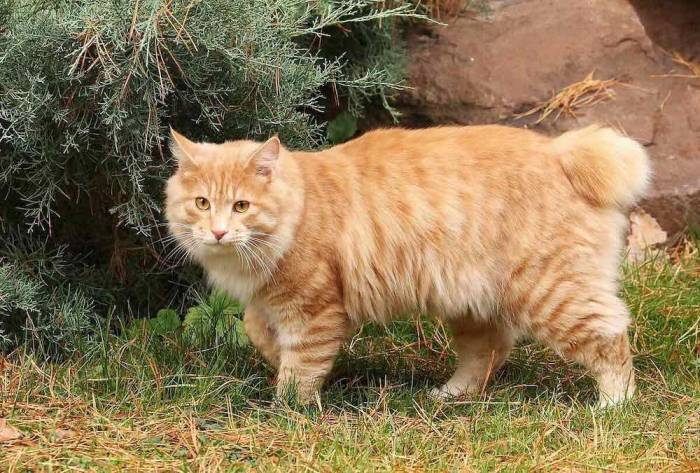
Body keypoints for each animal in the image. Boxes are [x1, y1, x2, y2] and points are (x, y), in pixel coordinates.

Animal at [165, 124, 650, 407]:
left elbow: (302, 366)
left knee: (610, 339)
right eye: (202, 203)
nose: (218, 232)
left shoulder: (313, 308)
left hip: (554, 293)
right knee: (489, 351)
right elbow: (256, 330)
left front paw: (287, 407)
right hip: (471, 302)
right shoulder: (268, 301)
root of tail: (559, 152)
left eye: (241, 206)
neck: (301, 205)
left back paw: (615, 406)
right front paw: (271, 358)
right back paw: (449, 395)